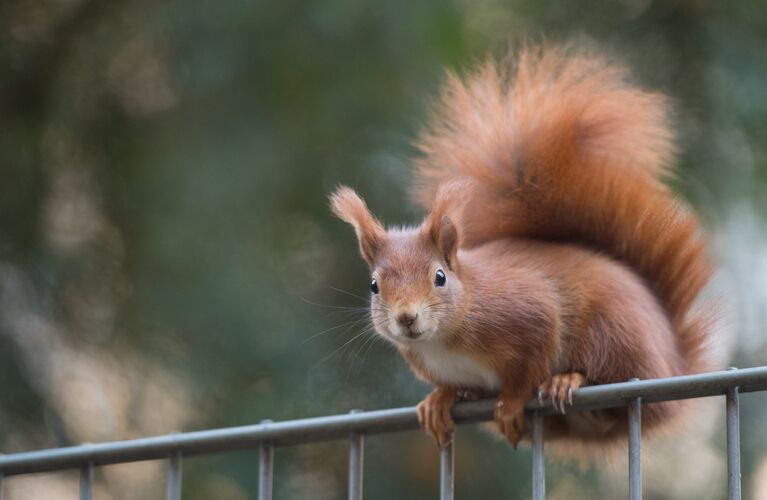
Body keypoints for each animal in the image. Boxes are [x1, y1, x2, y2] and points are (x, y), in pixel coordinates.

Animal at [326, 44, 712, 450]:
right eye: (374, 285)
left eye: (440, 277)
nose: (406, 318)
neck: (443, 340)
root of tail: (673, 361)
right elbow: (448, 386)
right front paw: (439, 399)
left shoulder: (528, 314)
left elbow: (528, 368)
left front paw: (511, 402)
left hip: (613, 333)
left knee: (609, 378)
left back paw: (566, 380)